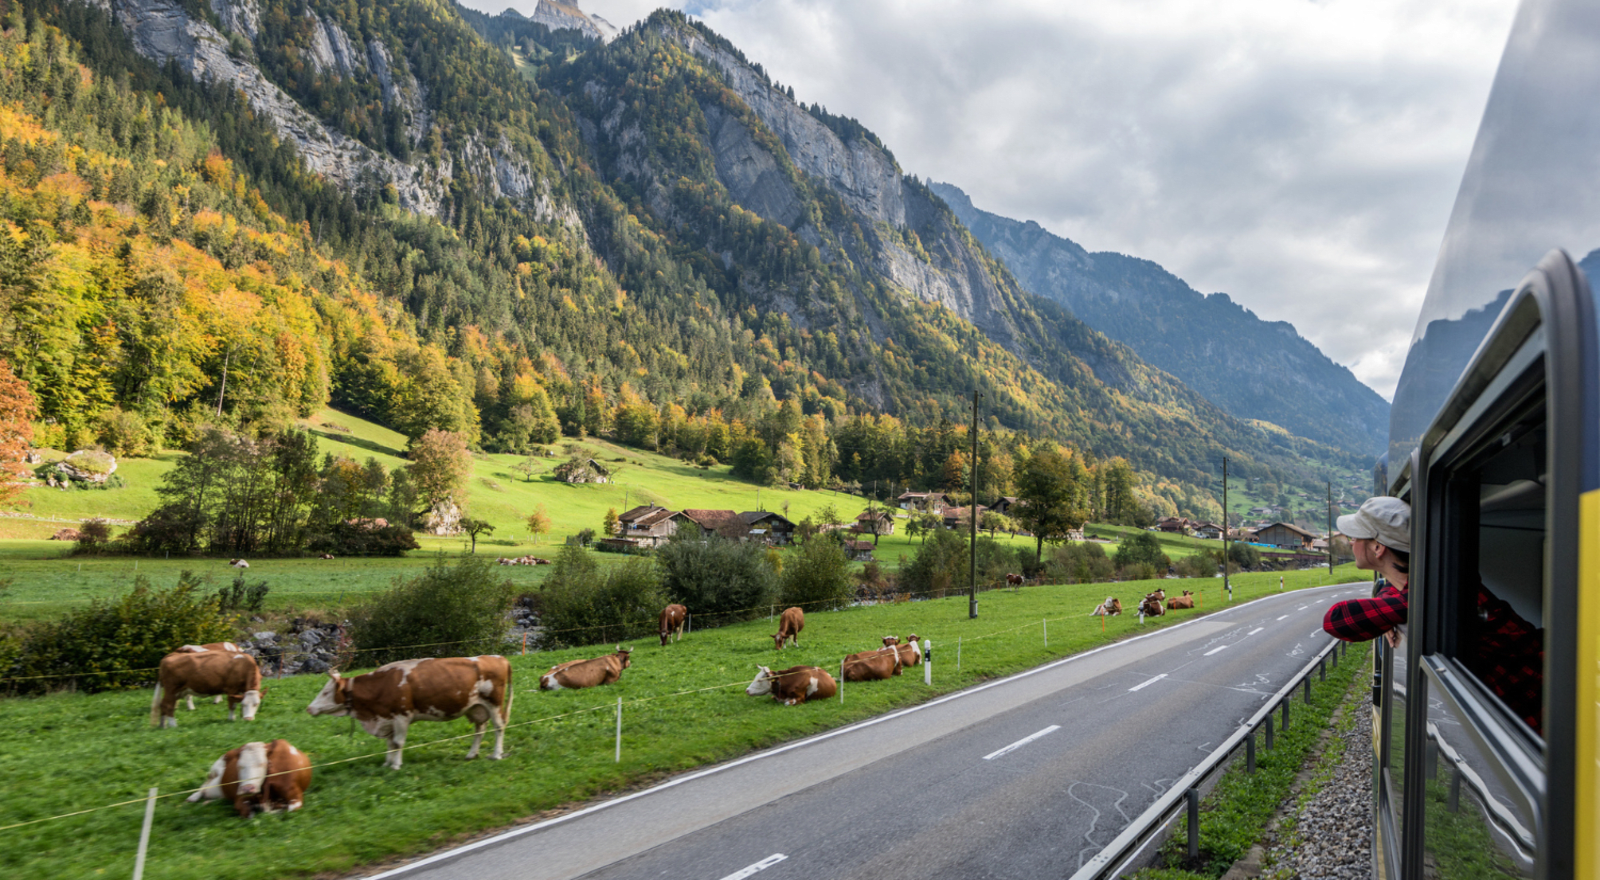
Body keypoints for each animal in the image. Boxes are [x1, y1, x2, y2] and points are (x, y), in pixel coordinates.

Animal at [184, 739, 312, 819]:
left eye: (262, 764)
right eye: (239, 766)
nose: (247, 788)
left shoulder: (295, 797)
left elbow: (289, 809)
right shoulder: (240, 799)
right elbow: (248, 813)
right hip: (215, 771)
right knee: (205, 785)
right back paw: (193, 797)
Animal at [305, 656, 512, 774]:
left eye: (325, 692)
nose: (309, 708)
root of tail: (499, 658)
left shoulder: (401, 716)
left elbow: (398, 742)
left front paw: (396, 765)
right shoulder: (387, 718)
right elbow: (389, 744)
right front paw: (387, 763)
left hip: (494, 703)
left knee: (498, 726)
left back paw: (496, 754)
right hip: (476, 707)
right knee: (480, 729)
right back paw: (471, 754)